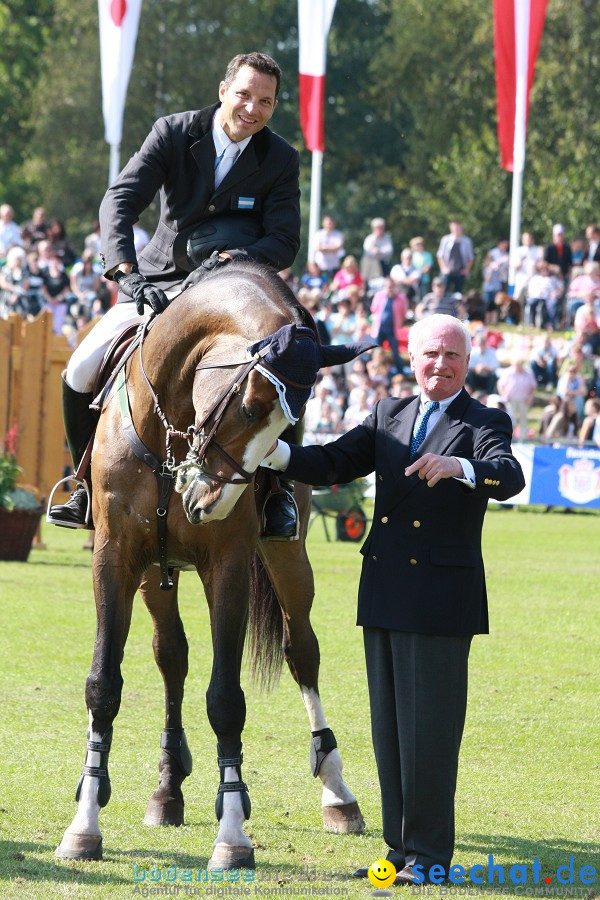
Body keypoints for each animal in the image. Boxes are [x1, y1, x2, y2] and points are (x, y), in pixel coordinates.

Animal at [55, 264, 366, 868]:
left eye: (290, 426)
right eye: (248, 406)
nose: (204, 501)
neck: (170, 424)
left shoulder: (228, 566)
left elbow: (226, 699)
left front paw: (233, 833)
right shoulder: (115, 557)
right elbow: (104, 684)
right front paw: (84, 822)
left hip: (286, 558)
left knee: (302, 652)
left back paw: (337, 793)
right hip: (155, 571)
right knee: (171, 657)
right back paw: (167, 789)